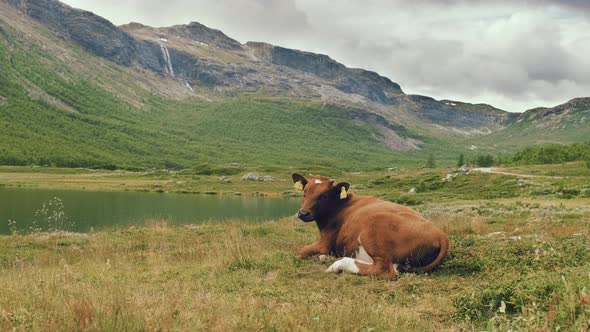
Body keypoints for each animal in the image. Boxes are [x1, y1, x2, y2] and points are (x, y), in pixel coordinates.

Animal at [294, 172, 450, 278]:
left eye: (324, 196)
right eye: (305, 192)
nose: (303, 213)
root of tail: (441, 234)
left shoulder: (325, 243)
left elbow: (302, 251)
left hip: (374, 226)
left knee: (384, 270)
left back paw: (337, 265)